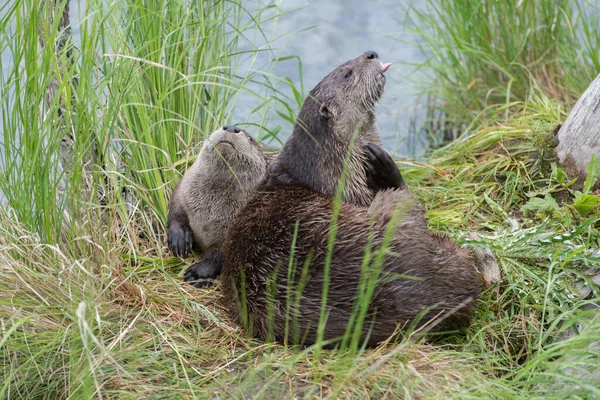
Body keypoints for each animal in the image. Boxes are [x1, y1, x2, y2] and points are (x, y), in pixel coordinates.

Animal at [165, 125, 266, 284]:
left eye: (250, 139)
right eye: (222, 125)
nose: (231, 127)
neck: (210, 209)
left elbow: (223, 253)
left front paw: (199, 273)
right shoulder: (184, 188)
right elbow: (175, 208)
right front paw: (179, 237)